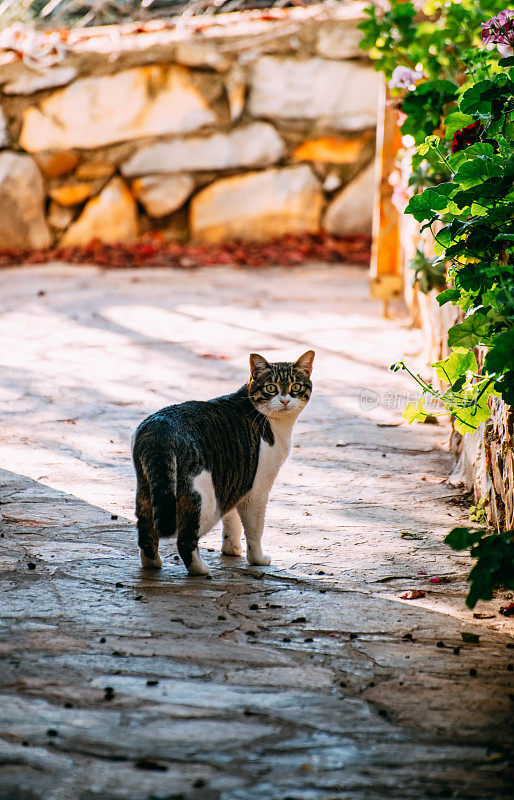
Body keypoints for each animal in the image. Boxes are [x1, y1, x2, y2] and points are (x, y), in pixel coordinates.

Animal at [131, 352, 312, 576]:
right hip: (203, 499)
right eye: (271, 388)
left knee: (146, 533)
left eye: (296, 386)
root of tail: (159, 427)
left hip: (146, 490)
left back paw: (153, 564)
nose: (286, 400)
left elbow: (231, 520)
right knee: (185, 539)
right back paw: (200, 569)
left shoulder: (235, 479)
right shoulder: (257, 490)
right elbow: (255, 530)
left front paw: (231, 549)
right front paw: (258, 559)